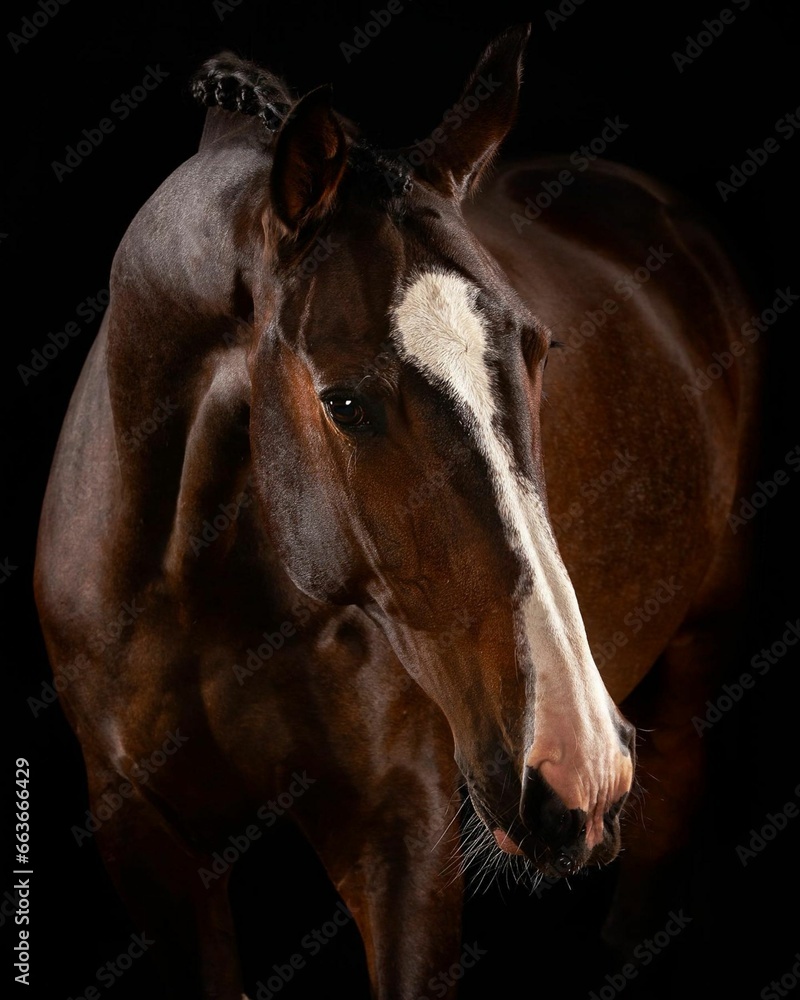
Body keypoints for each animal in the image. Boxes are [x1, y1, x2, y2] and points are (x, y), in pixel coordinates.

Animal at [34, 25, 762, 999]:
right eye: (344, 403)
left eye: (539, 349)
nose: (578, 764)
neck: (191, 580)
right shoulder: (142, 838)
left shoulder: (401, 833)